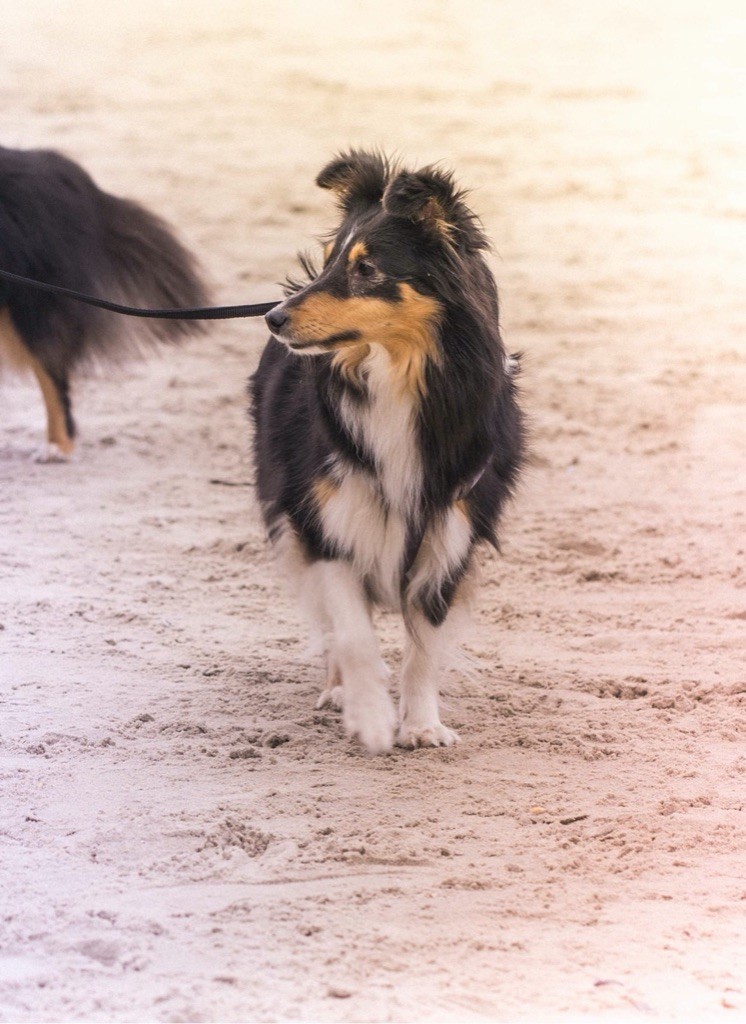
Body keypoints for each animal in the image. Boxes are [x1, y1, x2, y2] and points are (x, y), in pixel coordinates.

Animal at [250, 151, 523, 753]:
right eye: (330, 262)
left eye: (367, 269)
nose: (273, 318)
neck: (396, 378)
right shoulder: (326, 520)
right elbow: (353, 633)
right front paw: (372, 716)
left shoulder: (448, 528)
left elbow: (424, 646)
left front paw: (421, 724)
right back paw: (338, 692)